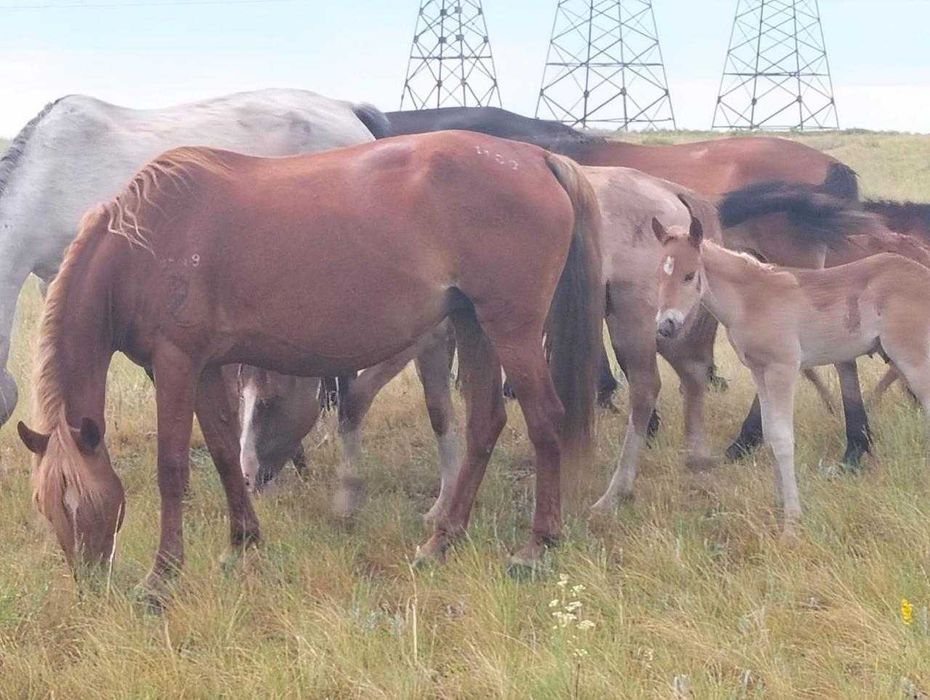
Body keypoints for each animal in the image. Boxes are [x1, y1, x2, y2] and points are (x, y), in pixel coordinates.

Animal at [15, 132, 603, 603]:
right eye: (45, 505)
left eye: (87, 504)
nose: (90, 585)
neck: (142, 244)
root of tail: (535, 157)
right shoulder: (203, 368)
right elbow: (224, 452)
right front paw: (241, 544)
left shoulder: (176, 364)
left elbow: (172, 468)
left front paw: (161, 577)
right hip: (472, 324)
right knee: (485, 423)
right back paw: (441, 541)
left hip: (512, 330)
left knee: (545, 420)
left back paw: (536, 545)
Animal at [653, 202, 930, 540]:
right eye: (658, 275)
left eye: (689, 275)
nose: (665, 325)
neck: (752, 298)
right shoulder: (759, 370)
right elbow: (770, 434)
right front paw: (778, 504)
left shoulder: (782, 369)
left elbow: (783, 439)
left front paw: (792, 522)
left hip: (912, 358)